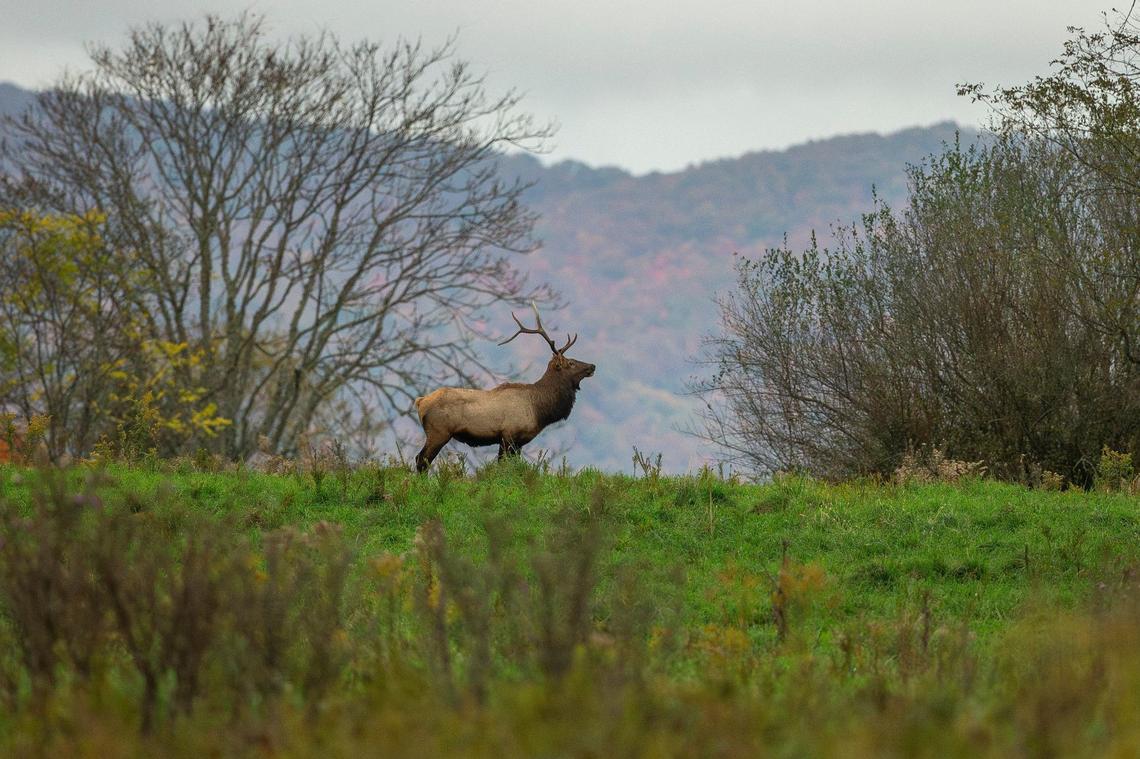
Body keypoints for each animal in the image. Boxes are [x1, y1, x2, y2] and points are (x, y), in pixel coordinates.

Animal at [413, 304, 596, 472]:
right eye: (571, 363)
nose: (592, 366)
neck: (539, 410)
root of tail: (420, 401)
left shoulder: (518, 441)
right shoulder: (508, 434)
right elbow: (503, 466)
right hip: (439, 432)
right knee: (421, 460)